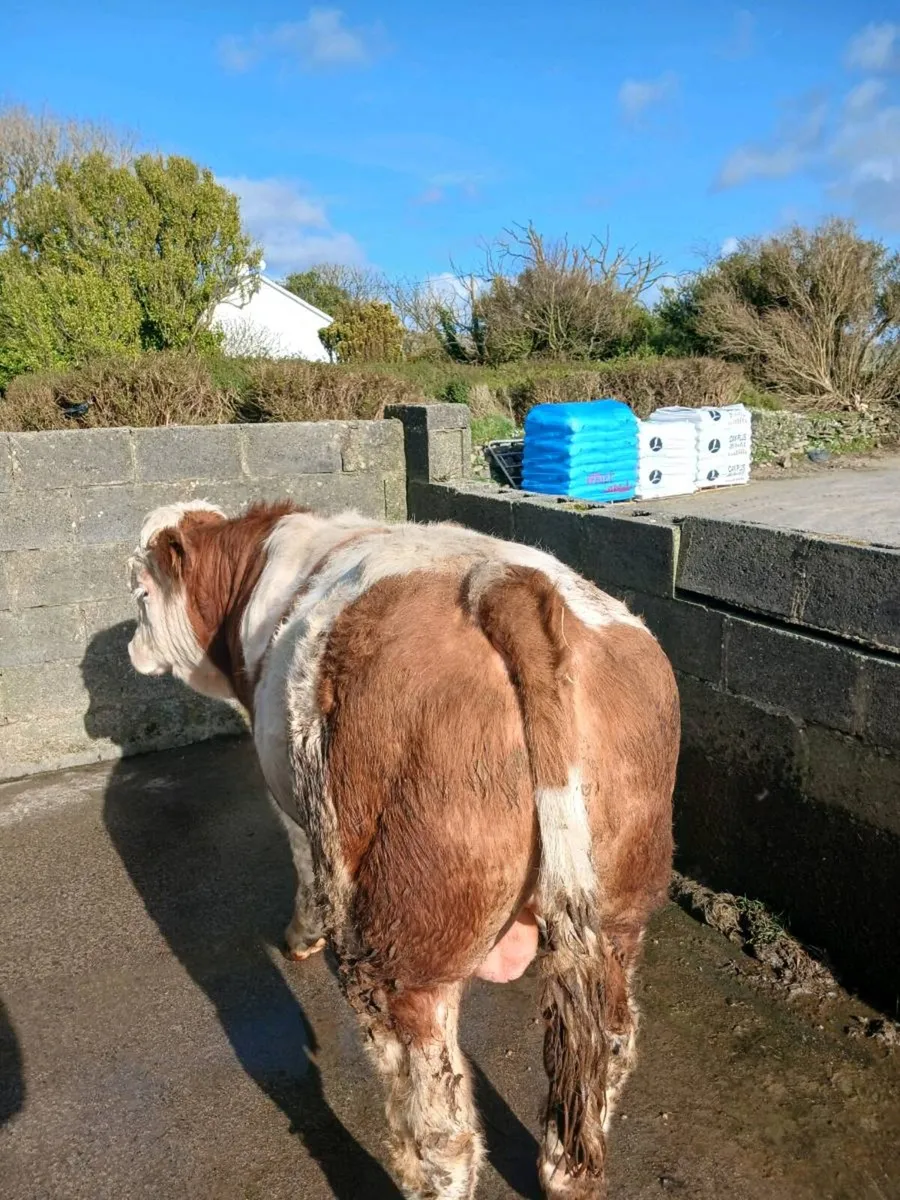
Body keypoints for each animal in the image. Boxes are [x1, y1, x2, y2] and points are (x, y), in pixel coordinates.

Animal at [127, 499, 679, 1200]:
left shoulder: (293, 805)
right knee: (611, 1042)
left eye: (140, 595)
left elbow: (303, 870)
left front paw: (298, 939)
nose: (129, 648)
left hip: (402, 942)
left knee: (442, 1124)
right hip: (620, 908)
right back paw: (564, 1171)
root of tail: (504, 582)